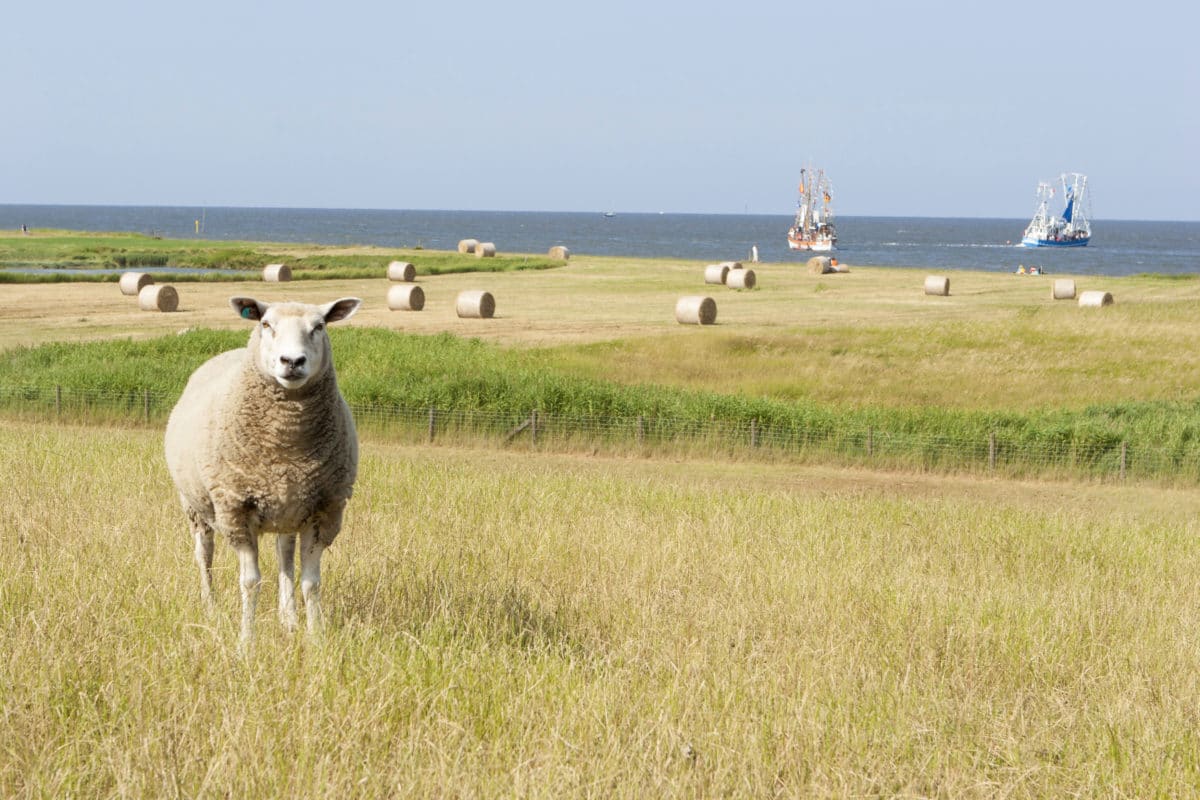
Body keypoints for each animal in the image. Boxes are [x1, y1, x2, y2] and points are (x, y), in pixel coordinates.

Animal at [165, 297, 360, 647]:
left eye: (319, 326)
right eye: (266, 324)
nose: (292, 361)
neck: (286, 443)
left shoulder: (324, 511)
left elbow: (311, 582)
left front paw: (316, 639)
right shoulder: (236, 510)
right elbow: (250, 582)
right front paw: (246, 642)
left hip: (287, 507)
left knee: (284, 556)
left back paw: (289, 618)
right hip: (196, 506)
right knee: (204, 555)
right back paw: (210, 607)